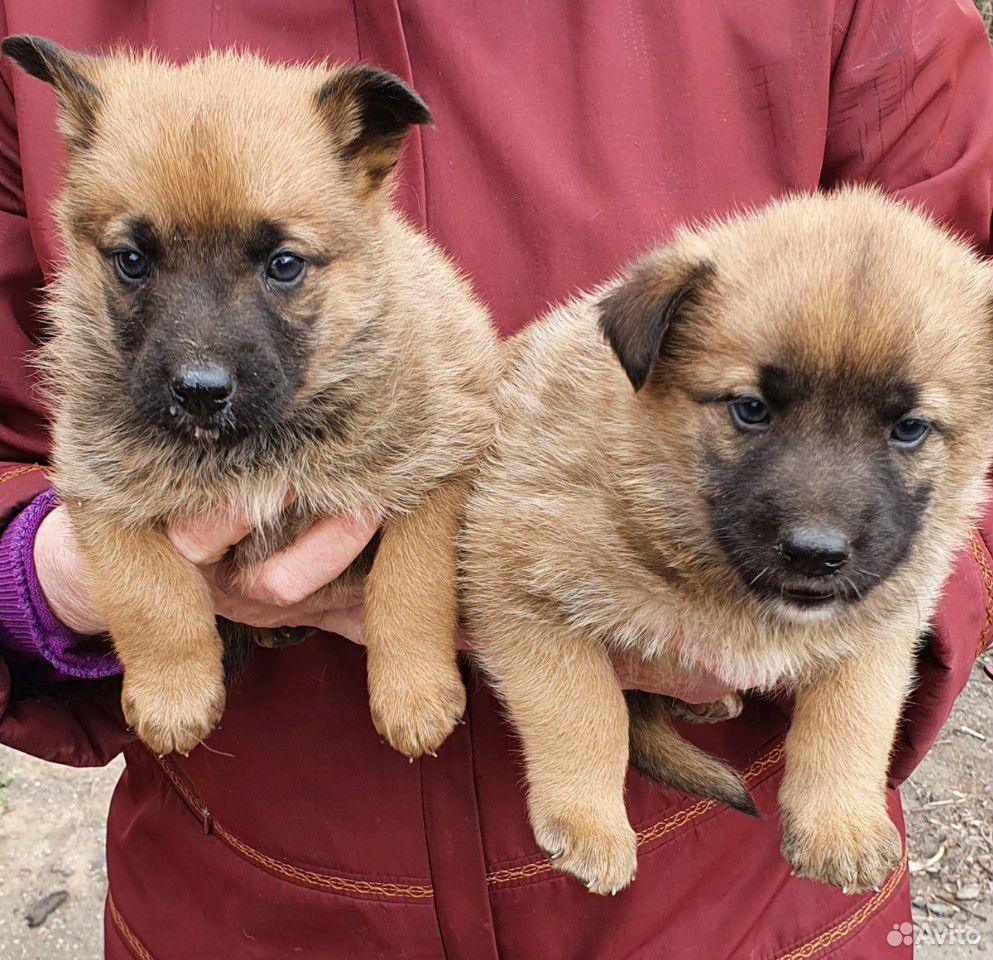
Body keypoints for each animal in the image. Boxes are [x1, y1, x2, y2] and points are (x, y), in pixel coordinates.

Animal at [5, 35, 504, 756]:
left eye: (284, 264)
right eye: (132, 260)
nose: (199, 392)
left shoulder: (444, 457)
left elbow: (411, 580)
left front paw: (414, 694)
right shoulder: (94, 483)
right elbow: (145, 587)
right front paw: (174, 694)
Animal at [464, 188, 992, 892]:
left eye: (910, 428)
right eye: (751, 409)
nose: (815, 553)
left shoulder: (882, 621)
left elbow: (855, 714)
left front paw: (841, 825)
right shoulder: (515, 577)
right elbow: (586, 710)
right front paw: (588, 824)